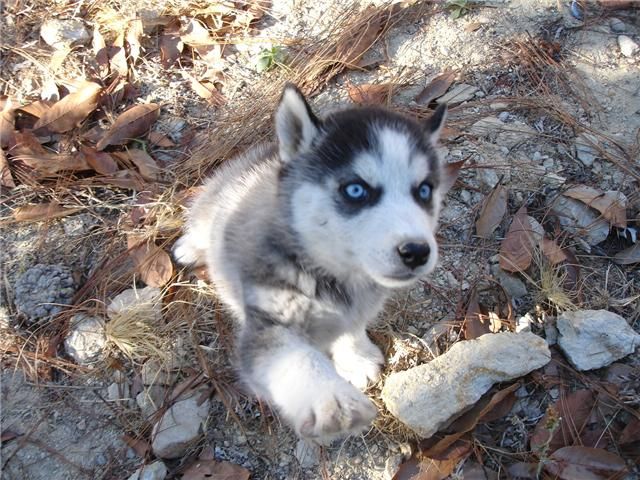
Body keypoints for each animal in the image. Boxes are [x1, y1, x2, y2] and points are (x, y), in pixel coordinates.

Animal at [171, 83, 460, 446]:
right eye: (356, 189)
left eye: (424, 190)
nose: (417, 251)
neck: (333, 275)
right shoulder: (267, 325)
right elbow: (295, 359)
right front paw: (331, 400)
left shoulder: (359, 306)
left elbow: (351, 328)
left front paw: (355, 358)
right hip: (210, 208)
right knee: (199, 227)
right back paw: (188, 248)